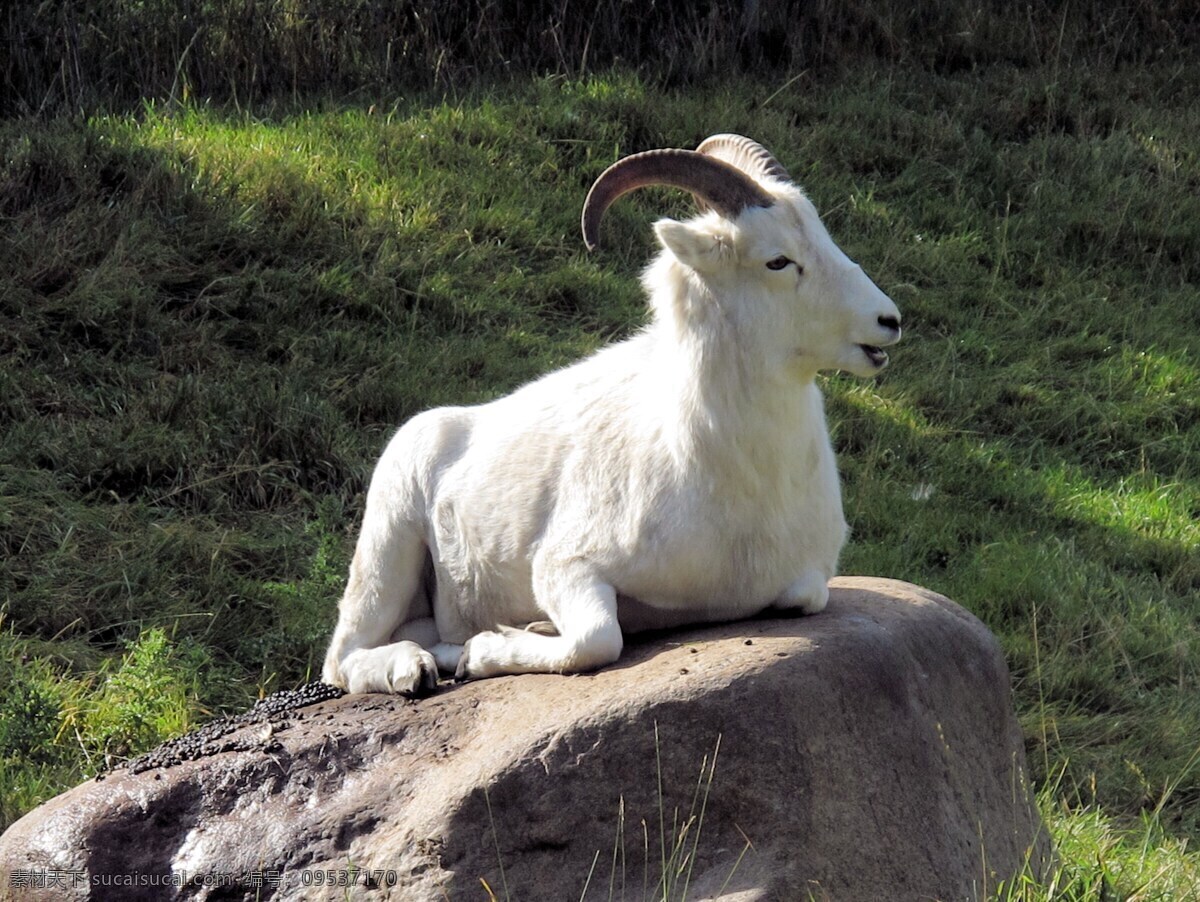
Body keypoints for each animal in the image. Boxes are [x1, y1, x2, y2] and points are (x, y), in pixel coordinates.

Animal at [319, 135, 902, 695]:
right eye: (777, 261)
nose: (888, 321)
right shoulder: (565, 568)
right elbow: (597, 640)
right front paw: (485, 652)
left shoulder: (806, 581)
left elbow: (805, 596)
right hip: (388, 551)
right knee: (343, 658)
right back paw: (415, 670)